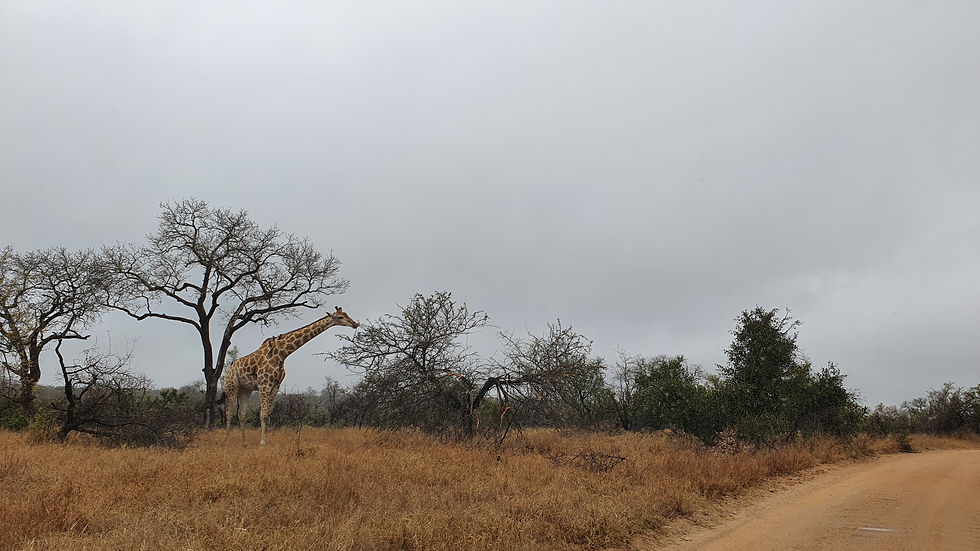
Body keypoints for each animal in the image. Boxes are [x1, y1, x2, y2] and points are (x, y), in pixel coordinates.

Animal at [222, 306, 359, 445]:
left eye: (346, 314)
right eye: (340, 317)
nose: (355, 324)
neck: (281, 354)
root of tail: (229, 369)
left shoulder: (275, 386)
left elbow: (267, 414)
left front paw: (263, 442)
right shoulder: (264, 384)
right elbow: (262, 414)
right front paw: (262, 443)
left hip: (246, 389)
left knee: (241, 414)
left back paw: (244, 443)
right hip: (231, 387)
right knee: (228, 412)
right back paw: (227, 440)